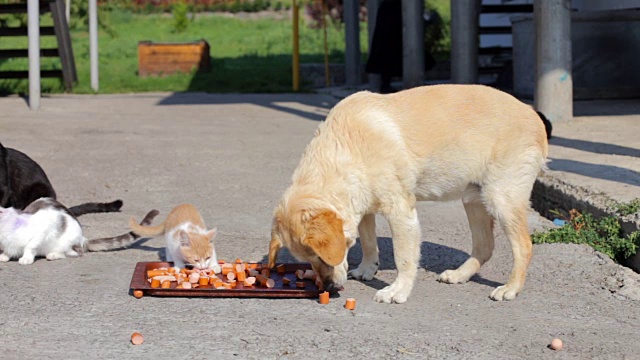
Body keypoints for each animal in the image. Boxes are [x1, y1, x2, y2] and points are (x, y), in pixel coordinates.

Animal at [0, 197, 159, 264]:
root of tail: (83, 239)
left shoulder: (43, 229)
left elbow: (30, 246)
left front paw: (26, 258)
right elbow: (8, 250)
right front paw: (4, 256)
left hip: (67, 240)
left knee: (76, 252)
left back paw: (53, 255)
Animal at [268, 84, 548, 304]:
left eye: (319, 256)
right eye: (308, 259)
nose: (328, 287)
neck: (345, 147)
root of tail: (534, 116)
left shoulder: (400, 211)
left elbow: (403, 257)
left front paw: (397, 290)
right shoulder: (364, 208)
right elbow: (368, 242)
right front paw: (368, 269)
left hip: (501, 199)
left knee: (523, 246)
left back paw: (511, 288)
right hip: (473, 200)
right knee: (485, 246)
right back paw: (460, 275)